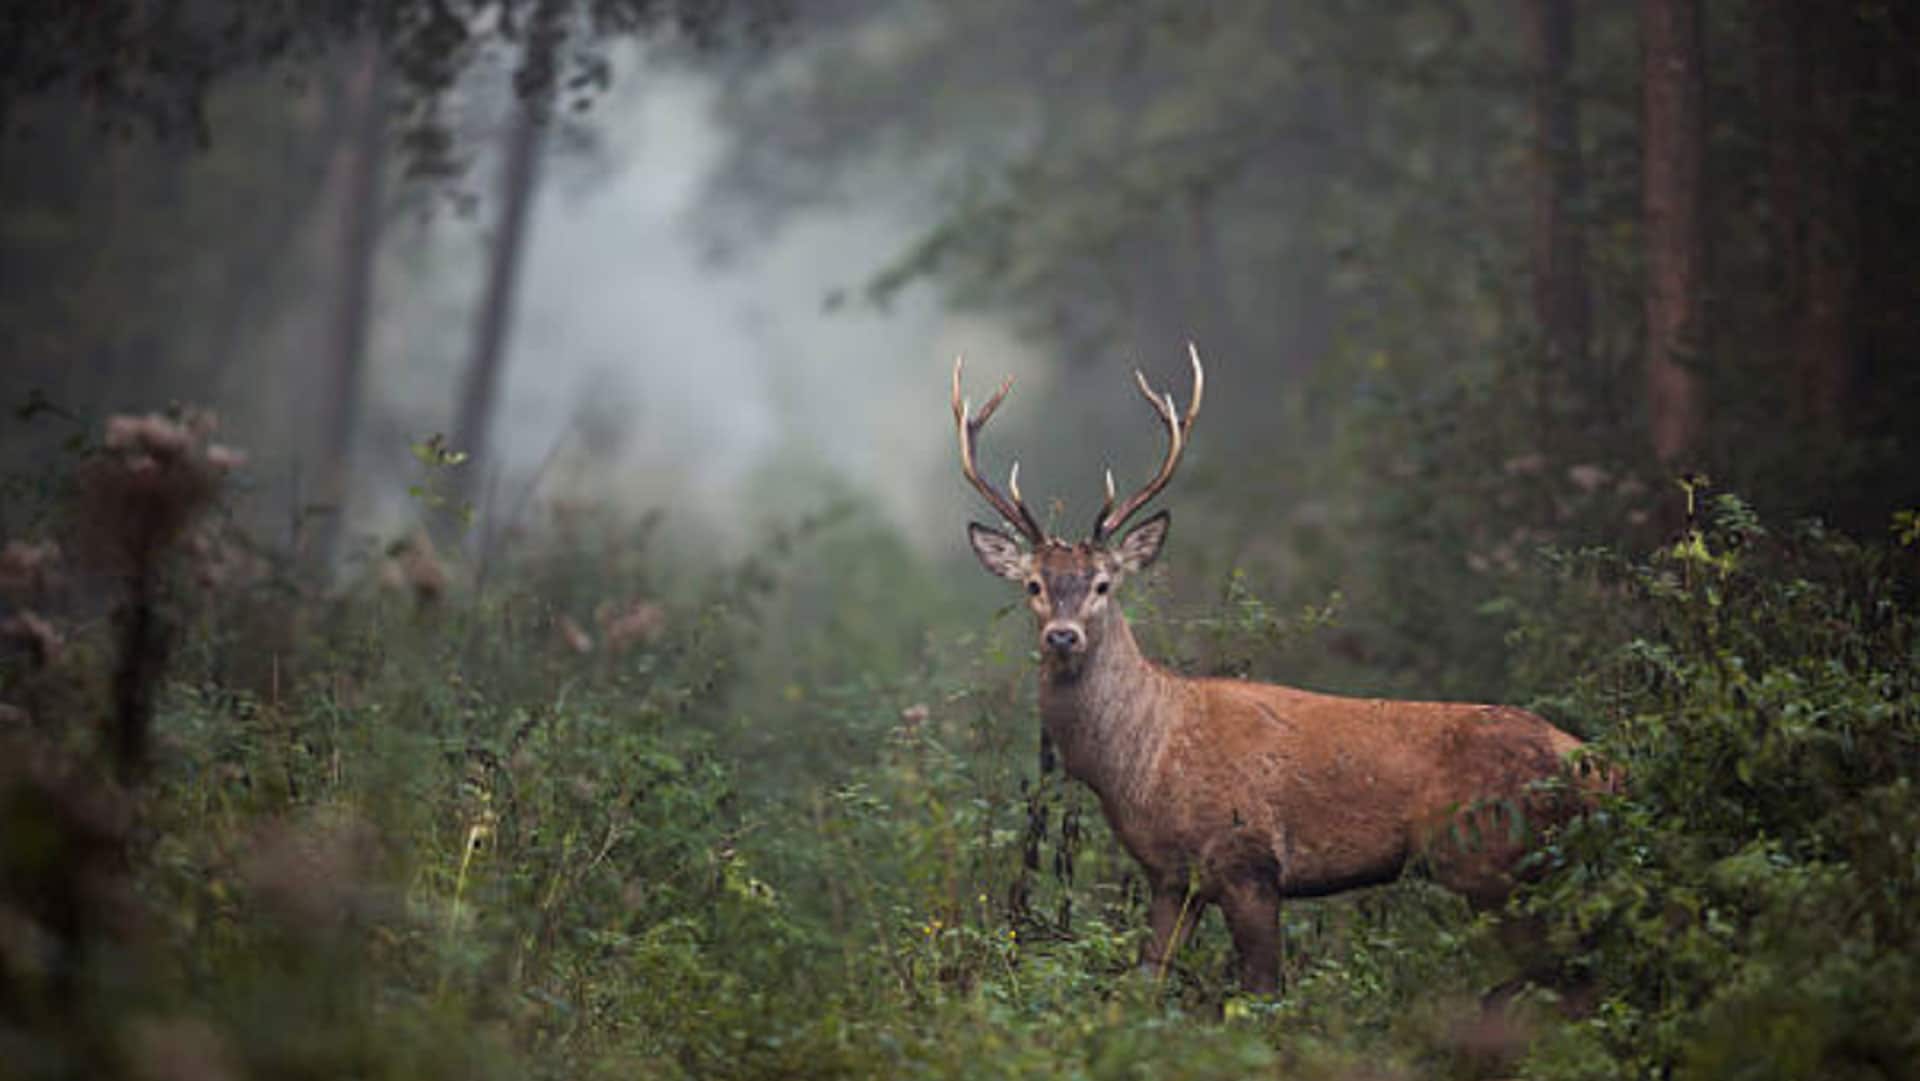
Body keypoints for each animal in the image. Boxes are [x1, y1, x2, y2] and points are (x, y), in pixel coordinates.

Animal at [952, 347, 1597, 998]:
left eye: (1104, 584)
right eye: (1034, 585)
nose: (1063, 635)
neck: (1142, 763)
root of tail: (1591, 762)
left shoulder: (1250, 860)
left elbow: (1262, 993)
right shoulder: (1172, 877)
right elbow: (1146, 984)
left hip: (1494, 858)